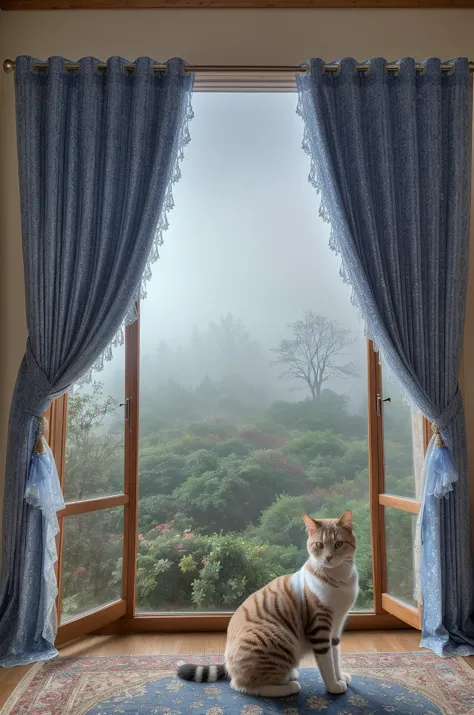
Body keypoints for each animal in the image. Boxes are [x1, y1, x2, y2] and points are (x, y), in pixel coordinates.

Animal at [177, 510, 356, 700]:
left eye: (338, 544)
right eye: (319, 545)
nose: (328, 557)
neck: (339, 579)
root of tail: (228, 666)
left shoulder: (336, 627)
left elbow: (335, 658)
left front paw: (340, 677)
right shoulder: (319, 630)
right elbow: (327, 664)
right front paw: (333, 685)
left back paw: (289, 675)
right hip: (279, 639)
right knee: (243, 686)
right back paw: (288, 686)